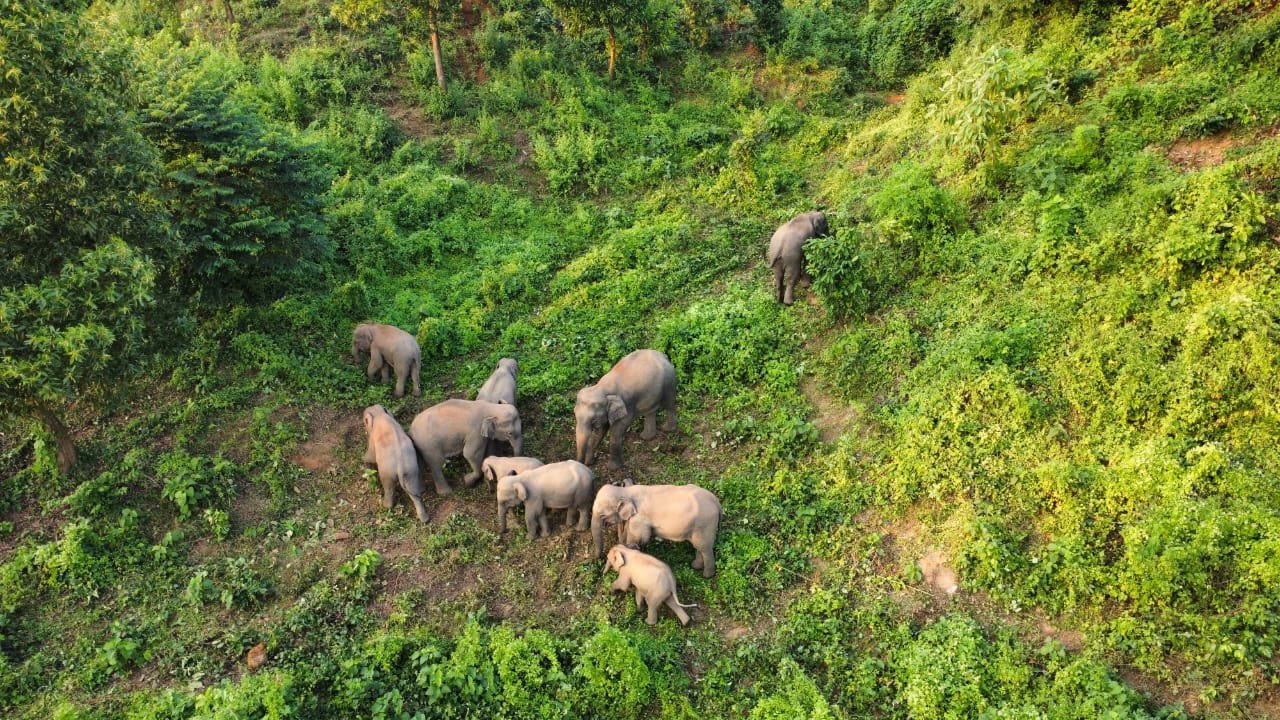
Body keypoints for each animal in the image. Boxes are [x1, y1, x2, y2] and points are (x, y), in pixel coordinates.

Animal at [588, 481, 721, 576]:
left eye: (602, 515)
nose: (599, 558)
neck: (626, 491)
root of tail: (717, 502)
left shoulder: (639, 519)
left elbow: (640, 539)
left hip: (705, 524)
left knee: (705, 548)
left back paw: (707, 575)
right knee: (699, 547)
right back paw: (695, 566)